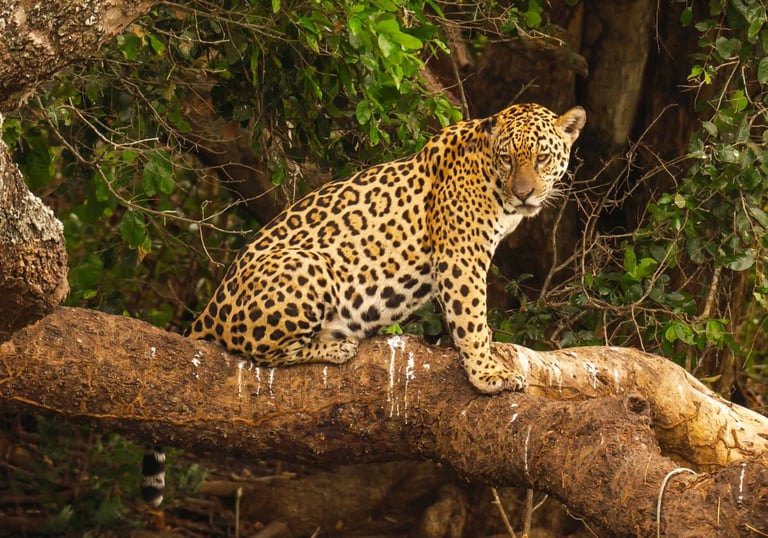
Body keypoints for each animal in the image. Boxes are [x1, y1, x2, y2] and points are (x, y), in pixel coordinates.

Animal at [140, 103, 585, 506]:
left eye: (542, 157)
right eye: (508, 158)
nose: (524, 193)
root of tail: (213, 303)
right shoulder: (461, 256)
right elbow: (473, 318)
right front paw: (487, 375)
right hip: (309, 264)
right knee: (257, 350)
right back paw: (336, 346)